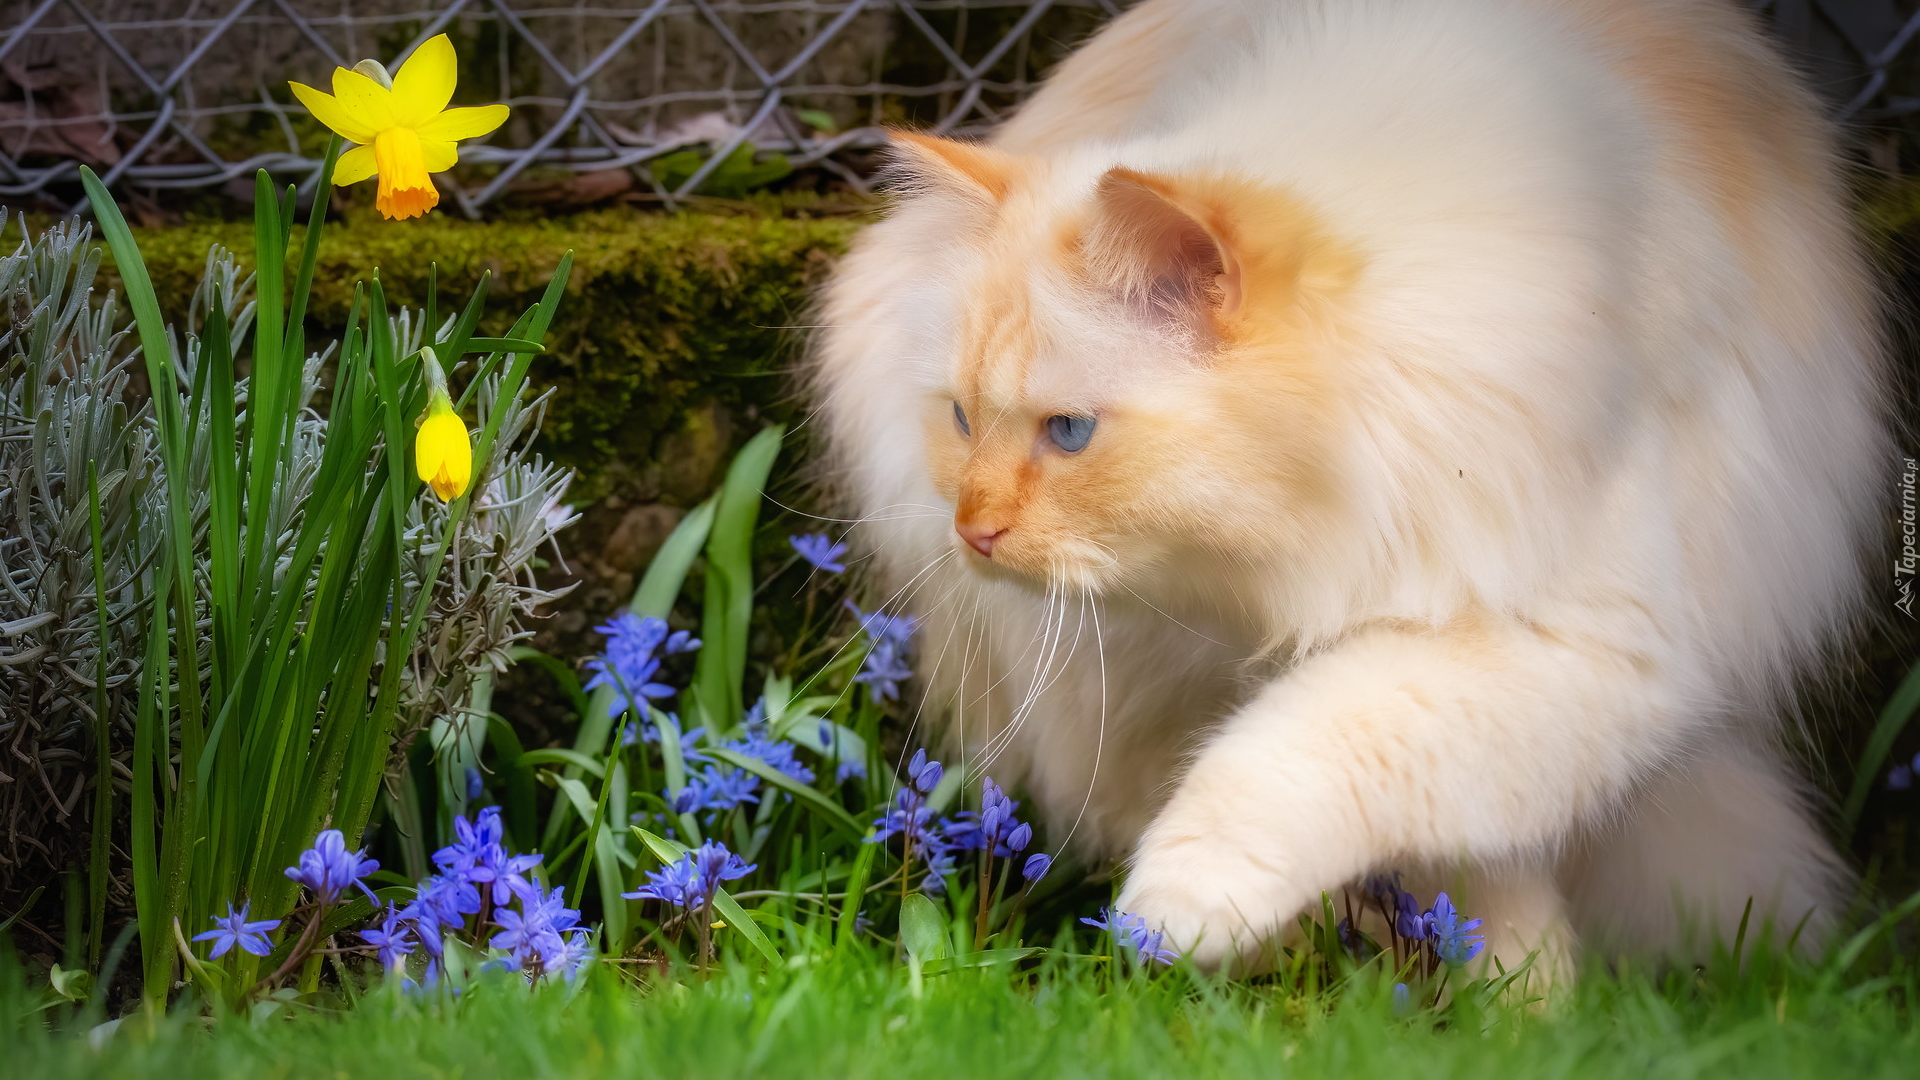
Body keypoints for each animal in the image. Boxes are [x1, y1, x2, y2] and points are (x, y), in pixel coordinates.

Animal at [806, 0, 1889, 976]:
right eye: (960, 419)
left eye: (1067, 432)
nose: (971, 530)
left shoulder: (1573, 642)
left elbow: (1303, 749)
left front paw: (1177, 909)